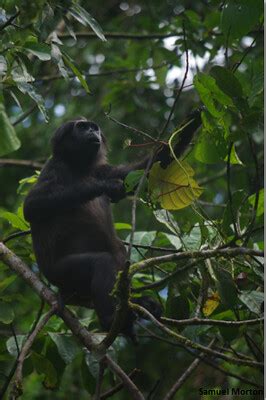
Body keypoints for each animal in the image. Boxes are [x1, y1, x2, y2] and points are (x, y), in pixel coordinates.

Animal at [23, 111, 201, 334]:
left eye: (94, 127)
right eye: (82, 127)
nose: (93, 132)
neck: (80, 167)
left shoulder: (104, 169)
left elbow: (143, 172)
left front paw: (189, 126)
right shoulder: (53, 169)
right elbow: (32, 206)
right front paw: (105, 186)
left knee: (118, 255)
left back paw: (136, 304)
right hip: (60, 273)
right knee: (102, 262)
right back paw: (110, 319)